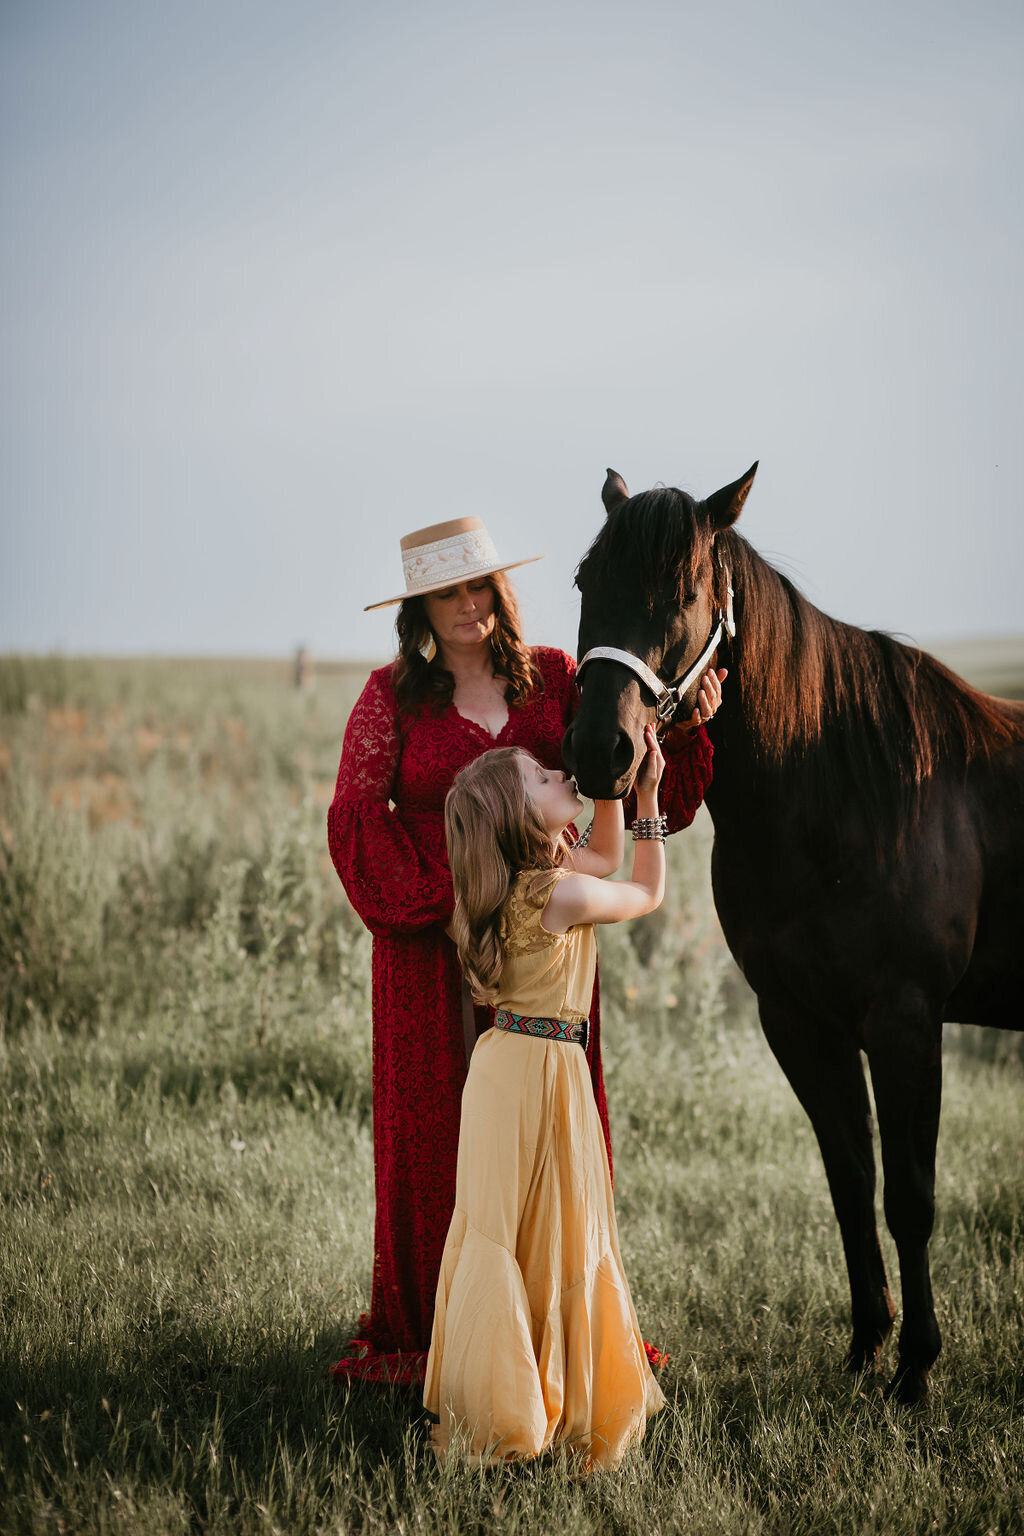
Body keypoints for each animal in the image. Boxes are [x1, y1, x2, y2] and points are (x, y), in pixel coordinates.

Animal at [564, 463, 1019, 1406]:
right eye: (587, 582)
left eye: (685, 592)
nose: (600, 750)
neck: (844, 791)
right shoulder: (801, 1022)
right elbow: (851, 1181)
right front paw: (866, 1348)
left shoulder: (906, 1021)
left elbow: (909, 1196)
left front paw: (916, 1370)